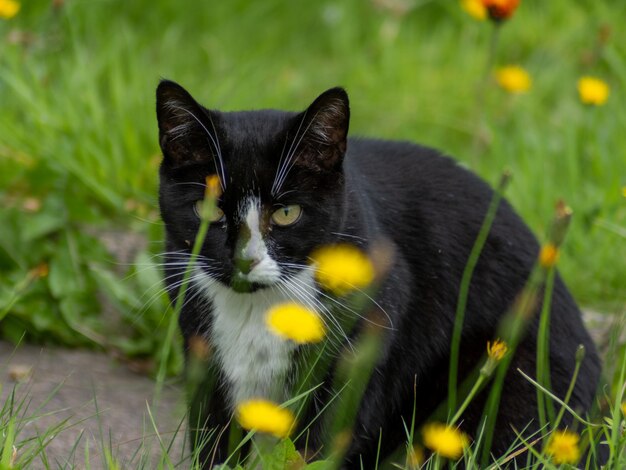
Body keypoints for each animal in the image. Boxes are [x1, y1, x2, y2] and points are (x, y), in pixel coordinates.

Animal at [156, 81, 600, 466]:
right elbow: (213, 441)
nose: (245, 260)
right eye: (207, 209)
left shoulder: (365, 332)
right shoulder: (203, 352)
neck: (260, 310)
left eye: (286, 213)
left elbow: (319, 444)